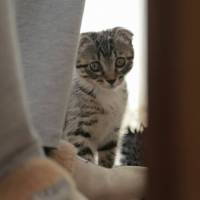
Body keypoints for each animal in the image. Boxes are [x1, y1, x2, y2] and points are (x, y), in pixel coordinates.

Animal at [63, 26, 134, 167]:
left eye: (120, 61)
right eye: (95, 66)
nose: (111, 80)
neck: (108, 94)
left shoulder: (112, 131)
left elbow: (107, 159)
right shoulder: (77, 130)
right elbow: (86, 158)